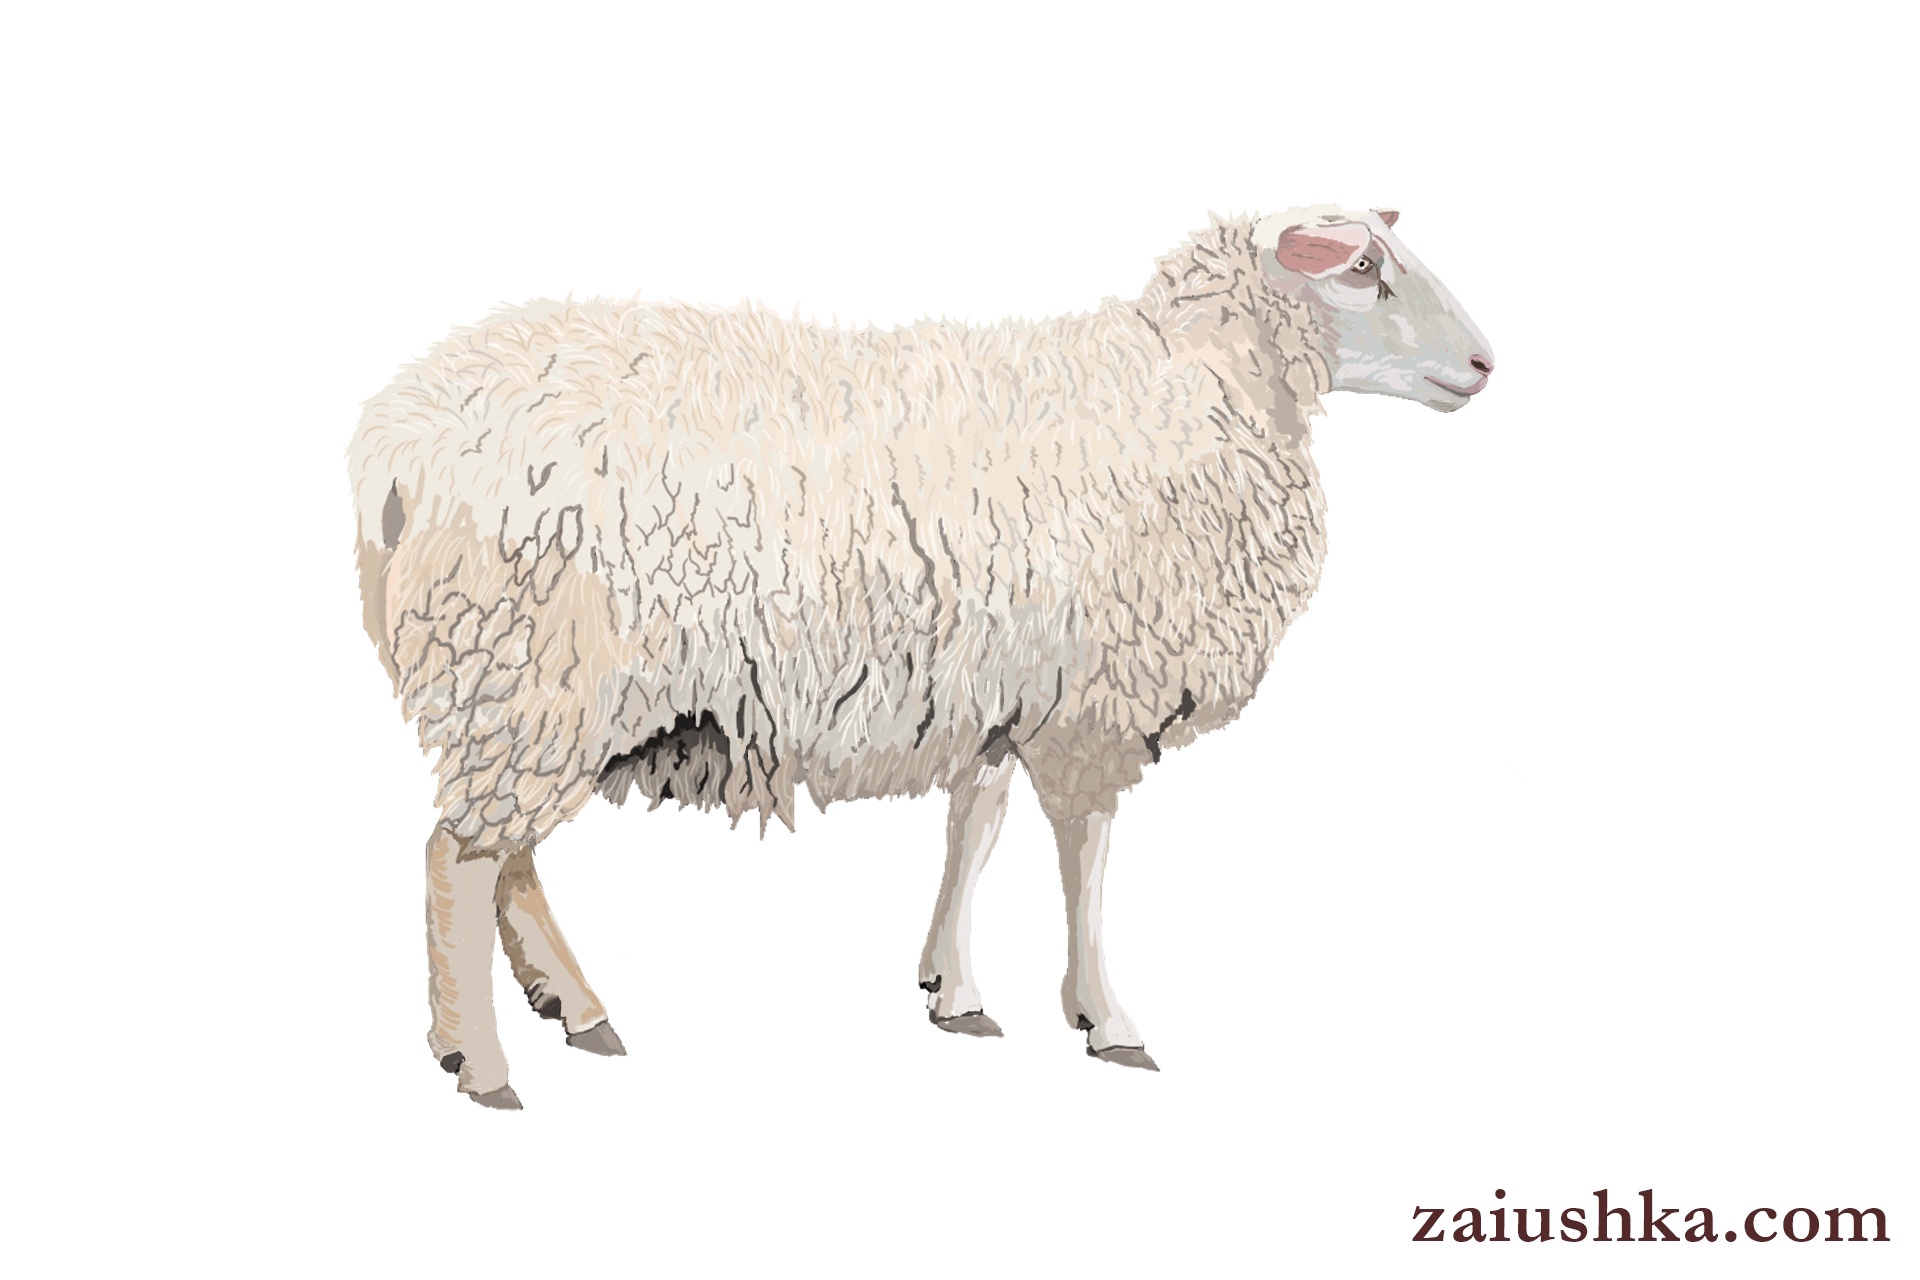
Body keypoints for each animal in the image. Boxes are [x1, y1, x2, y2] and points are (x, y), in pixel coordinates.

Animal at [349, 205, 1494, 1108]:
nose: (1486, 363)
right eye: (1361, 266)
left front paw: (955, 990)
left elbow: (973, 830)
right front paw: (1106, 1016)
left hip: (534, 687)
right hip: (529, 661)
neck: (1195, 389)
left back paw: (577, 1007)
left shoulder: (998, 687)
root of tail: (393, 439)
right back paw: (482, 1062)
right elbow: (1086, 859)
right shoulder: (1091, 702)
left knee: (506, 854)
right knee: (459, 858)